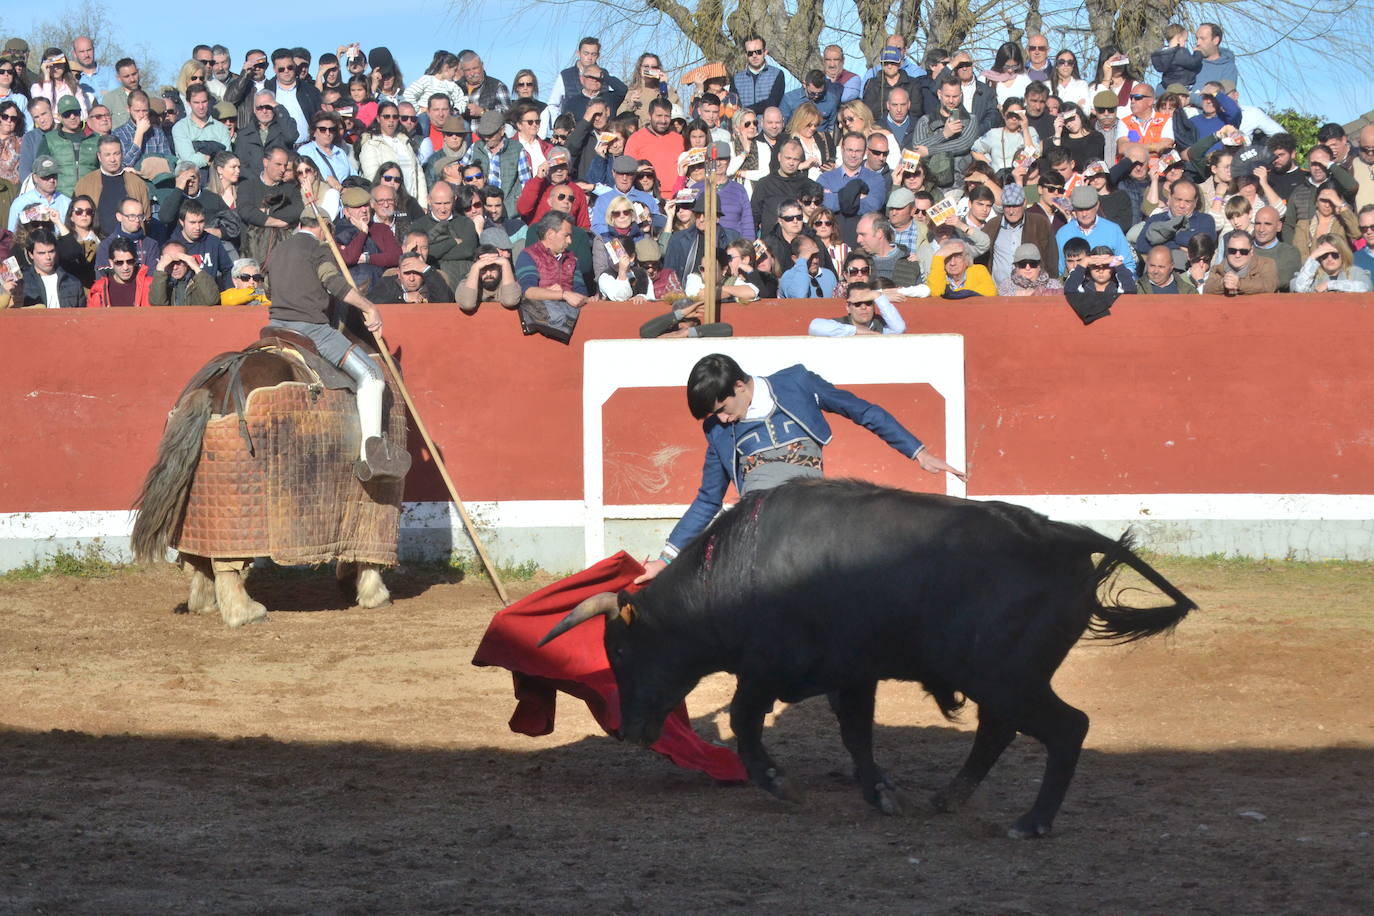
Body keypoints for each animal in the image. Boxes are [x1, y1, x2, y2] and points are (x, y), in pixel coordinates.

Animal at [131, 333, 403, 626]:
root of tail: (215, 386)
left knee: (203, 553)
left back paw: (205, 602)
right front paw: (373, 591)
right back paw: (244, 612)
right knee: (227, 561)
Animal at [541, 477, 1198, 840]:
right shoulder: (852, 673)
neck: (736, 570)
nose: (631, 731)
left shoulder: (767, 668)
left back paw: (1031, 822)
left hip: (1008, 677)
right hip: (1003, 679)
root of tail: (1065, 534)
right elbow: (856, 734)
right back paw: (949, 798)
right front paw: (880, 793)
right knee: (997, 731)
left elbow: (747, 722)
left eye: (620, 649)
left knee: (1066, 728)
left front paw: (779, 783)